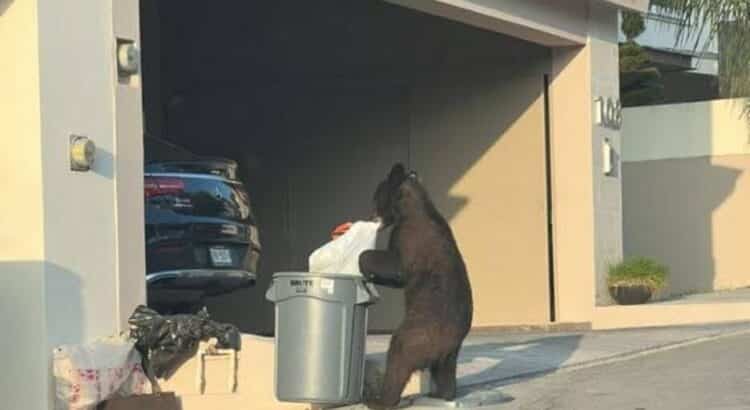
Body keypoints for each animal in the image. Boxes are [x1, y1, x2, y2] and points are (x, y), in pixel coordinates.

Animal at [360, 163, 476, 406]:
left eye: (376, 196)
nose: (371, 215)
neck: (411, 207)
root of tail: (445, 347)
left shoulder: (410, 237)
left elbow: (396, 266)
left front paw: (364, 263)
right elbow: (397, 279)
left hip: (419, 332)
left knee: (399, 356)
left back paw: (379, 399)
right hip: (449, 354)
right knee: (445, 374)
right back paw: (440, 394)